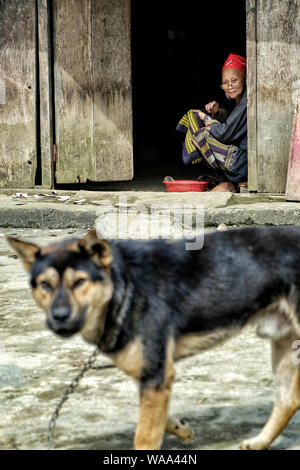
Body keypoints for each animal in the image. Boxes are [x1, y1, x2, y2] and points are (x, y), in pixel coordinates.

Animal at [7, 226, 300, 450]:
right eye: (45, 285)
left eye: (79, 282)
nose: (59, 317)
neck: (124, 288)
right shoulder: (152, 373)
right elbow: (157, 418)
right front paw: (181, 428)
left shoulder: (156, 375)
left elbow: (144, 436)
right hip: (284, 344)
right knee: (288, 400)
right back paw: (260, 442)